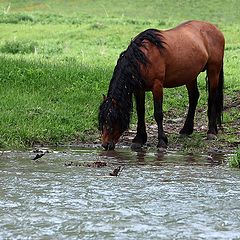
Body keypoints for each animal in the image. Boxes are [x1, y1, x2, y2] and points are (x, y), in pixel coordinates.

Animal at [98, 21, 225, 151]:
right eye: (102, 121)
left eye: (112, 119)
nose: (105, 144)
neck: (143, 58)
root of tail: (215, 28)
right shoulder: (139, 89)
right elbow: (140, 111)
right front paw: (139, 139)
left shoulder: (157, 86)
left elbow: (158, 113)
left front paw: (162, 141)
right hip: (190, 75)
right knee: (194, 97)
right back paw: (186, 130)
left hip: (214, 70)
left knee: (212, 97)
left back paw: (211, 131)